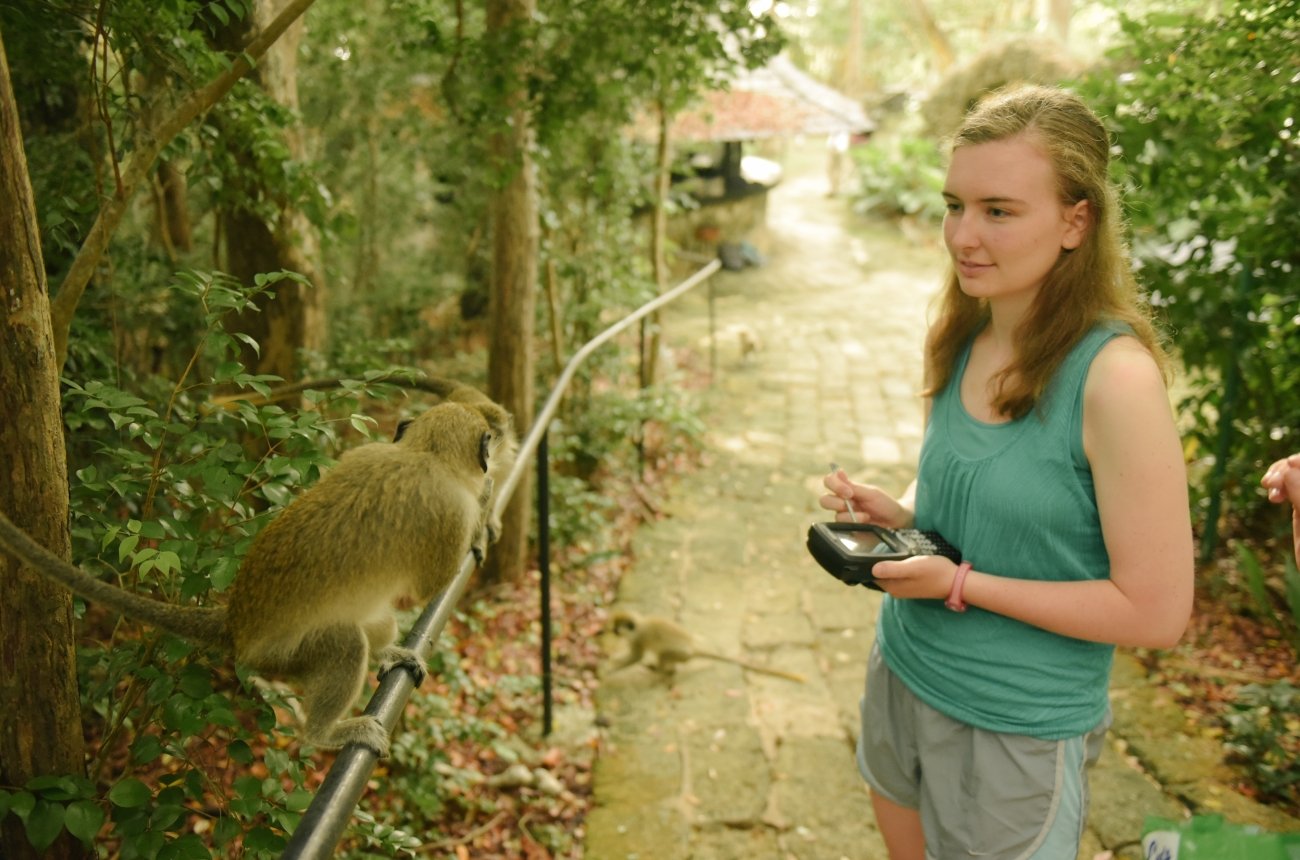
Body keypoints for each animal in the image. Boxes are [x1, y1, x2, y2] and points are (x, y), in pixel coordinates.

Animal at [0, 398, 510, 757]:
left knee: (374, 625)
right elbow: (430, 584)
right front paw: (484, 503)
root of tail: (237, 624)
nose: (490, 463)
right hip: (284, 656)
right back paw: (322, 734)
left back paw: (386, 651)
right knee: (346, 644)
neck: (425, 453)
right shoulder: (447, 512)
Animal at [606, 610, 805, 683]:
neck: (639, 624)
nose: (611, 632)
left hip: (679, 654)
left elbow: (636, 657)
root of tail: (693, 648)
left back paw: (661, 672)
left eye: (616, 629)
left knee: (664, 655)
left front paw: (608, 668)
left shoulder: (638, 639)